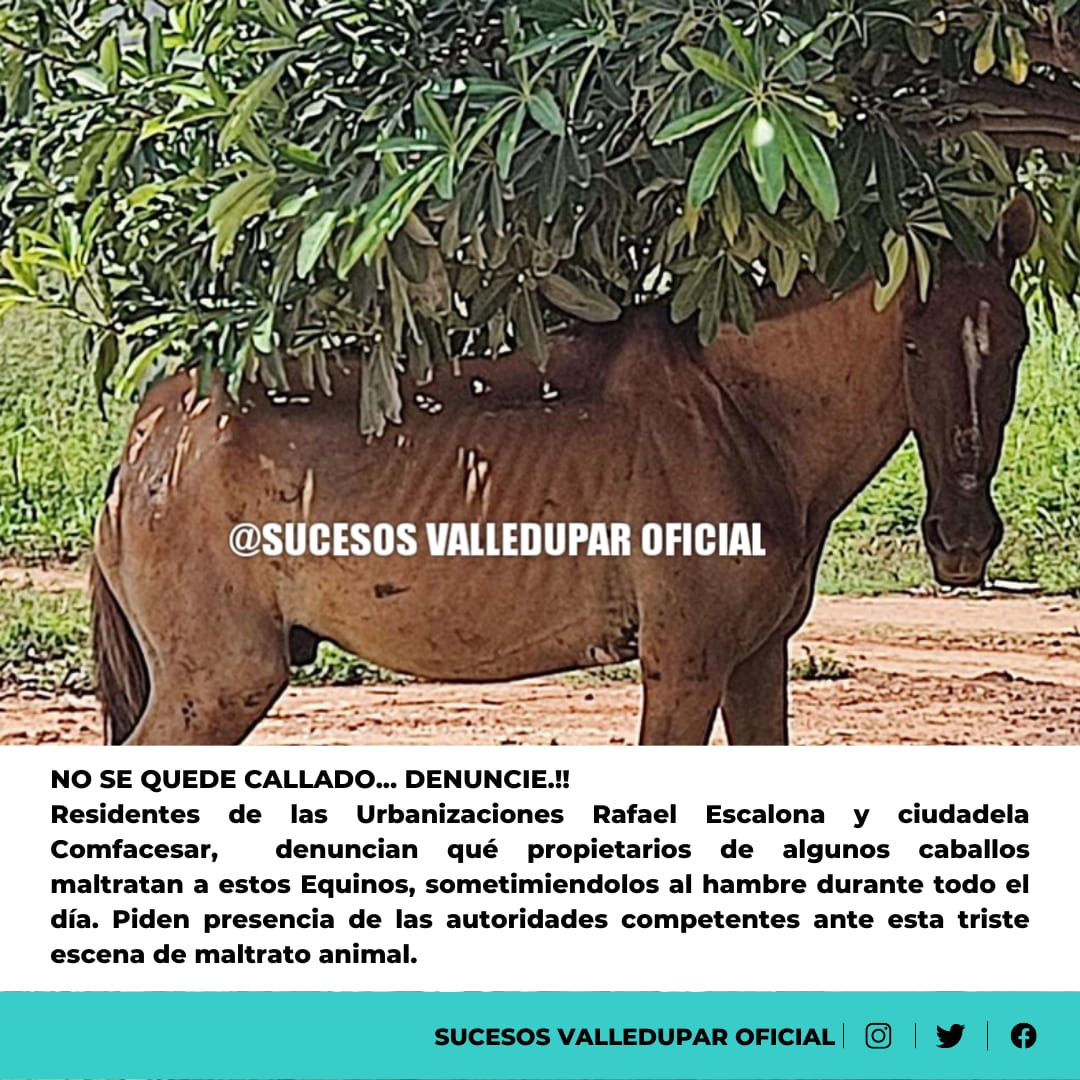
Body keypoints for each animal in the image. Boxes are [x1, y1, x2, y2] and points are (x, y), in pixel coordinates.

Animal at [90, 195, 1037, 745]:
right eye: (912, 344)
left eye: (1017, 342)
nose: (962, 539)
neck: (739, 416)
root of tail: (146, 444)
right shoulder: (684, 663)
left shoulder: (756, 659)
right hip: (220, 686)